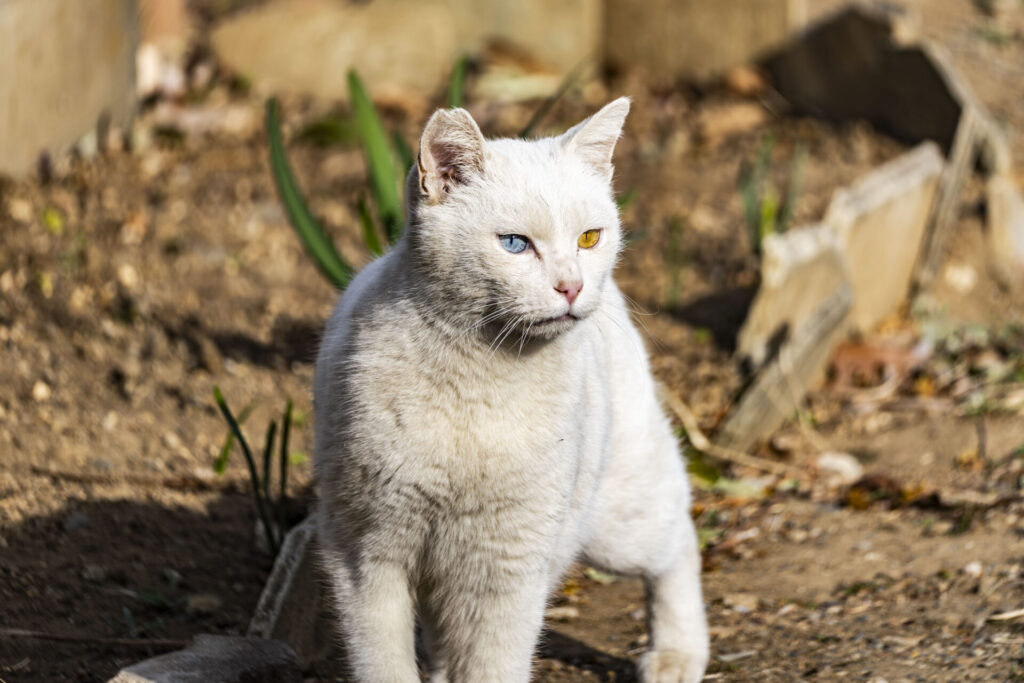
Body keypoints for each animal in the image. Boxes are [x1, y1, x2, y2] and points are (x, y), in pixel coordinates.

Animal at [315, 97, 708, 683]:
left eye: (589, 238)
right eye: (515, 245)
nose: (572, 286)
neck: (477, 379)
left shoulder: (509, 562)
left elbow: (493, 664)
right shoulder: (364, 555)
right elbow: (384, 663)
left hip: (617, 518)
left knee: (678, 541)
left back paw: (678, 655)